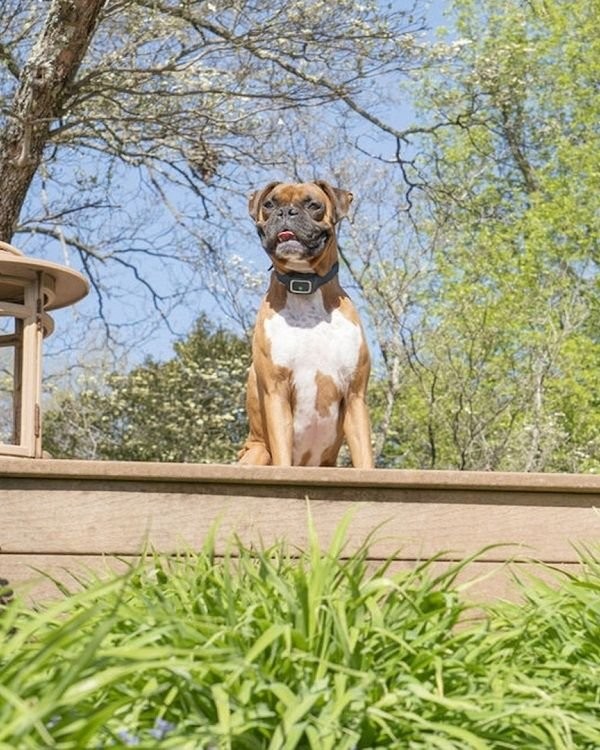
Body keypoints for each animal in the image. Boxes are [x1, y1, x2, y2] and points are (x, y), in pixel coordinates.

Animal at [238, 180, 373, 468]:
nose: (286, 212)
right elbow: (283, 457)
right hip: (257, 453)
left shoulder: (355, 395)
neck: (304, 286)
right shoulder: (276, 391)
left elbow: (365, 460)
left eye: (313, 204)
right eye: (270, 204)